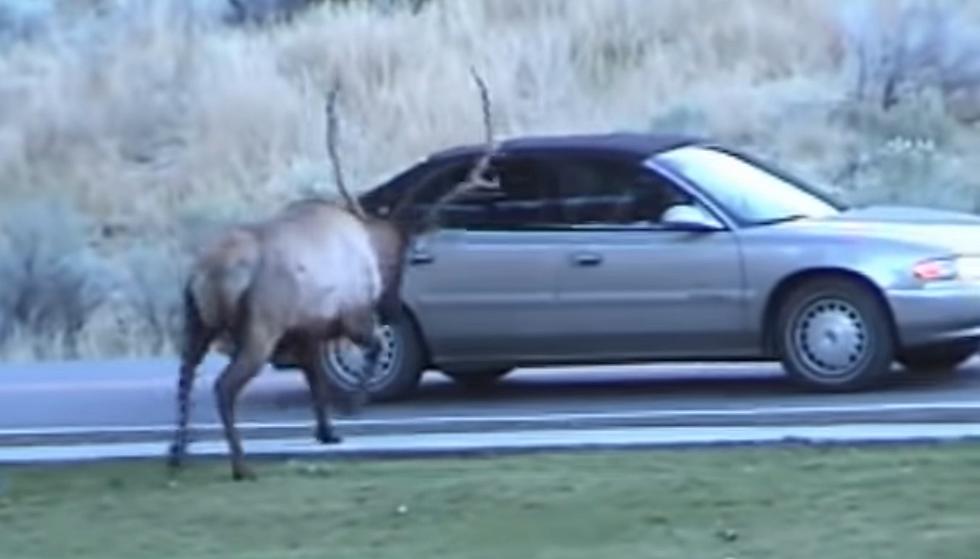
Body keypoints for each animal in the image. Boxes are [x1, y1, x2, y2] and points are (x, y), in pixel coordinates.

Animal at [168, 69, 502, 482]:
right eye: (404, 255)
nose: (393, 305)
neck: (371, 245)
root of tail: (209, 273)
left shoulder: (308, 329)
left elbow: (315, 380)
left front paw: (327, 431)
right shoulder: (352, 313)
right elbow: (371, 351)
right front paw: (355, 404)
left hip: (196, 321)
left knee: (185, 376)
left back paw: (178, 452)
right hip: (261, 326)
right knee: (223, 386)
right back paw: (240, 465)